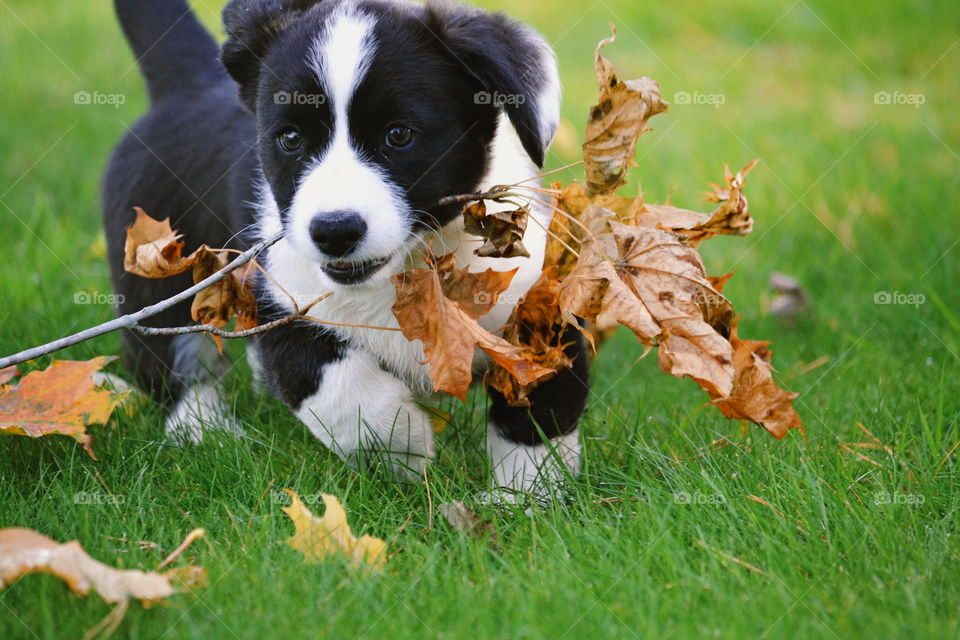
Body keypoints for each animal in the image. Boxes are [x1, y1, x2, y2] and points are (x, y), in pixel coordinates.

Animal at [101, 0, 588, 500]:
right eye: (290, 139)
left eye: (399, 134)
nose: (334, 231)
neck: (411, 268)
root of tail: (187, 85)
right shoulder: (280, 303)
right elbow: (332, 381)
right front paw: (402, 442)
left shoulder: (539, 309)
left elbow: (541, 410)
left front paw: (526, 498)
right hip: (151, 279)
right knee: (171, 366)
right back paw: (202, 429)